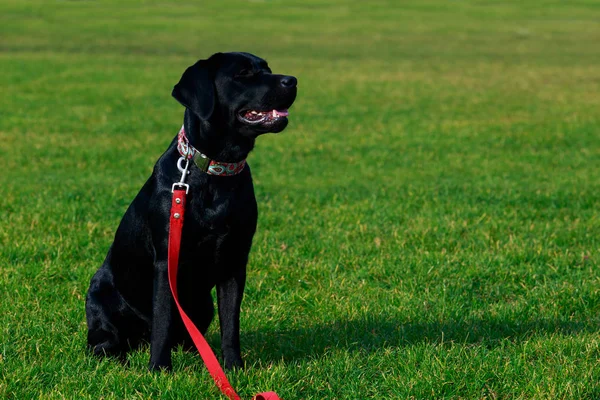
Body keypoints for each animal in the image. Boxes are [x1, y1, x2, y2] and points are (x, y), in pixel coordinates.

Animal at [85, 51, 298, 370]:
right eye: (243, 73)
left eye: (267, 68)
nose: (292, 80)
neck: (215, 171)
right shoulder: (166, 261)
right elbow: (163, 320)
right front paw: (159, 369)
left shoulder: (235, 260)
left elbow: (230, 324)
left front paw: (232, 367)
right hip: (99, 296)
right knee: (106, 341)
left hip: (203, 304)